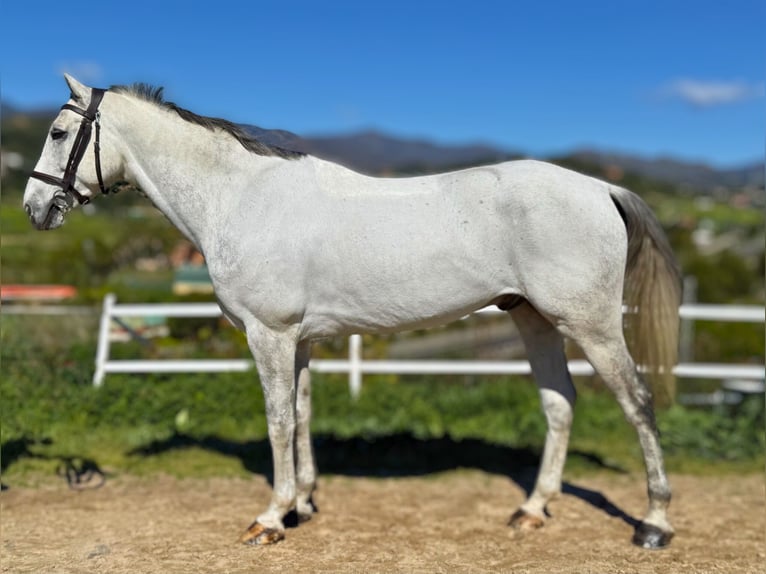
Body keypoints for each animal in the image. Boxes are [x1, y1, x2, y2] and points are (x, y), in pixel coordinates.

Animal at [24, 76, 680, 548]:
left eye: (57, 132)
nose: (34, 208)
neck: (240, 198)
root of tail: (600, 188)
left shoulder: (269, 336)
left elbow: (278, 420)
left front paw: (271, 518)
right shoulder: (300, 340)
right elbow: (303, 414)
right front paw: (305, 502)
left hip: (591, 326)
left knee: (637, 403)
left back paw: (654, 523)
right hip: (534, 320)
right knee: (560, 404)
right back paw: (533, 510)